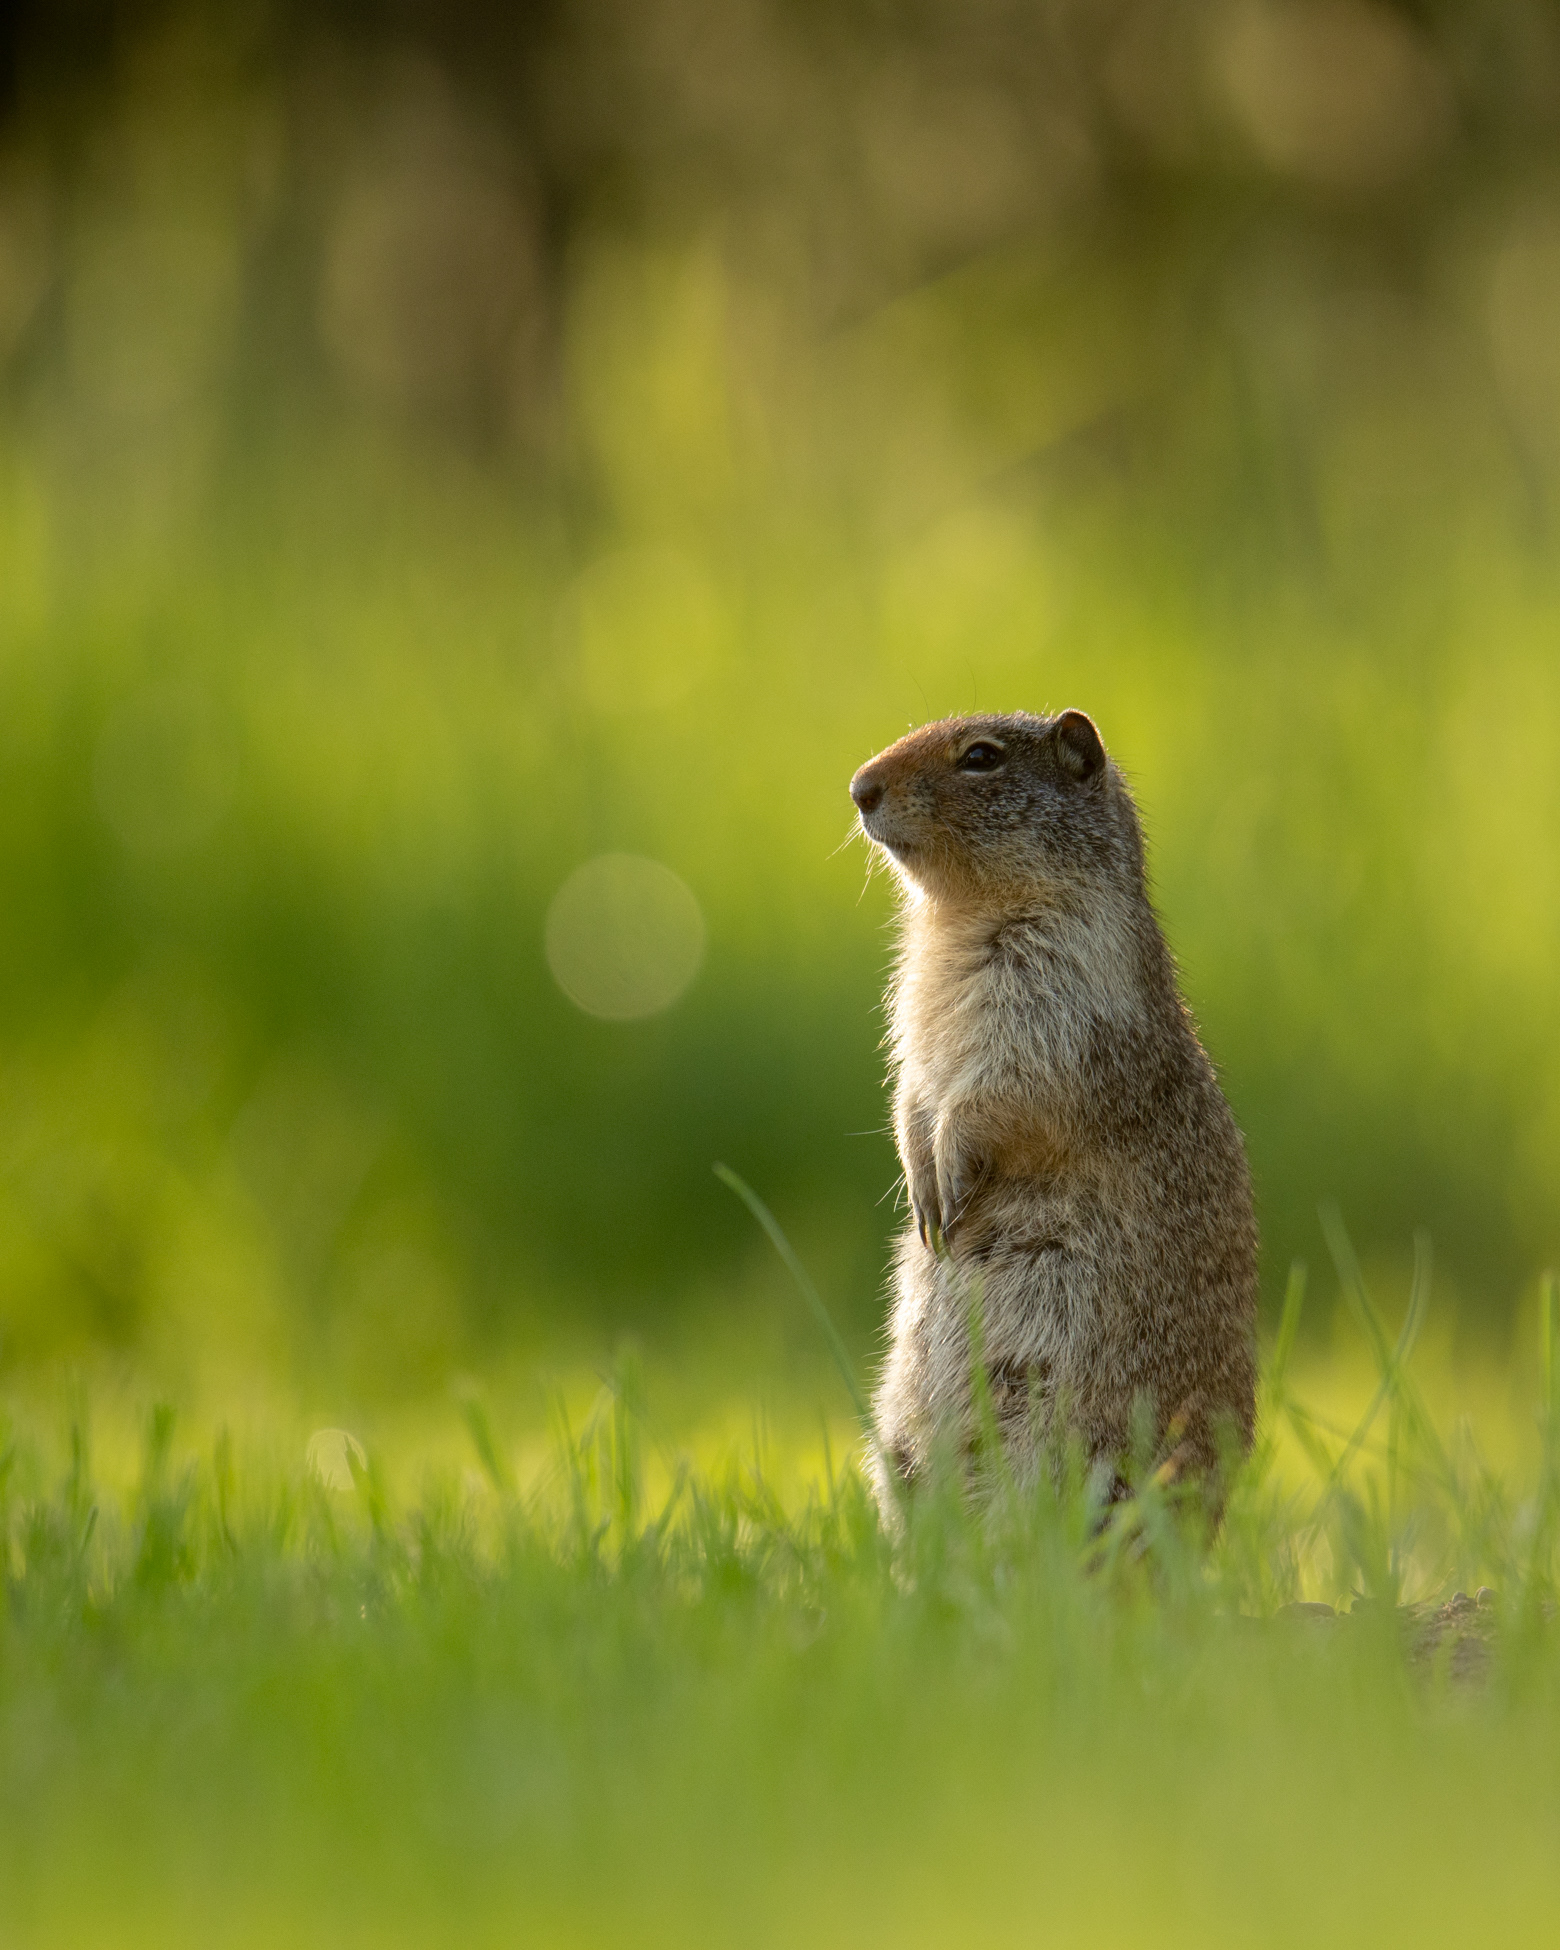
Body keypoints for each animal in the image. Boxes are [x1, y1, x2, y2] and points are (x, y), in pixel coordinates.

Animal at [849, 708, 1257, 1516]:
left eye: (981, 758)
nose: (858, 787)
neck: (963, 917)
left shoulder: (1055, 1000)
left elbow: (1003, 1091)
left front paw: (948, 1174)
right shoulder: (916, 1020)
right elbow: (912, 1088)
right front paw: (921, 1186)